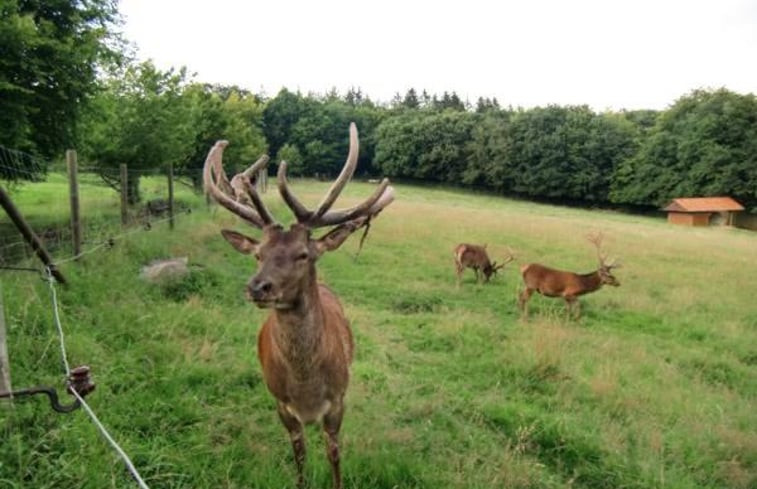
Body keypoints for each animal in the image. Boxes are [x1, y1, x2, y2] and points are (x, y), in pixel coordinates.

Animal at [205, 124, 396, 486]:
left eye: (303, 254)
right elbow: (300, 454)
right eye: (258, 254)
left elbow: (334, 454)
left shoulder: (337, 401)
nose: (258, 287)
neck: (306, 387)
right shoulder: (281, 404)